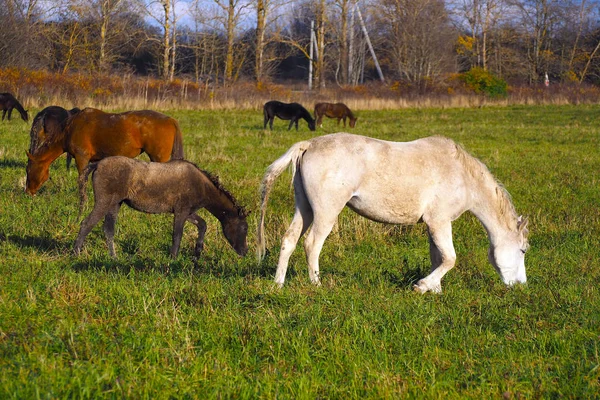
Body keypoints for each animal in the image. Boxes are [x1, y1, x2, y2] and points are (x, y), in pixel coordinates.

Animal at [25, 108, 184, 196]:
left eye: (28, 170)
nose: (28, 192)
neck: (69, 129)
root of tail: (170, 120)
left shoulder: (81, 158)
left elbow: (82, 180)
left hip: (159, 157)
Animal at [75, 156, 248, 260]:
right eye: (244, 228)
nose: (245, 252)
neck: (201, 185)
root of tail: (97, 164)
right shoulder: (181, 211)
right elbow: (177, 235)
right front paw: (173, 259)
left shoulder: (187, 212)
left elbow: (202, 225)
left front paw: (197, 254)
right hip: (104, 202)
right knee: (86, 224)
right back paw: (75, 253)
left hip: (115, 204)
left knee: (108, 229)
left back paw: (114, 258)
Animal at [255, 133, 528, 292]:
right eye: (523, 250)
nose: (520, 285)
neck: (461, 174)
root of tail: (308, 144)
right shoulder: (439, 222)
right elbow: (450, 259)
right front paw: (422, 286)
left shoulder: (432, 225)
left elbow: (438, 258)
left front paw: (434, 289)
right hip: (326, 212)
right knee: (312, 244)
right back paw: (317, 284)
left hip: (305, 209)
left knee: (289, 240)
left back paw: (278, 284)